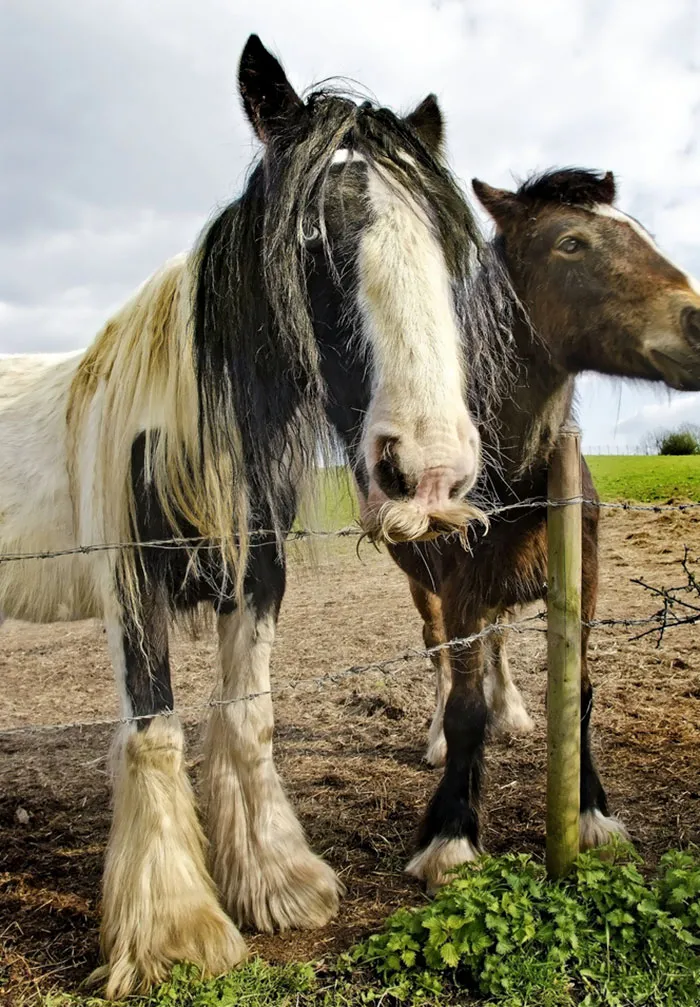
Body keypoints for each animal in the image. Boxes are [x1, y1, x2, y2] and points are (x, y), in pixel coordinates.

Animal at [0, 35, 506, 996]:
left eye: (442, 237)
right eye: (309, 234)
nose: (428, 472)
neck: (183, 432)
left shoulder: (258, 578)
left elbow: (247, 719)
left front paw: (276, 881)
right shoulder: (131, 589)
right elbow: (155, 731)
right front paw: (176, 930)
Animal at [382, 168, 700, 892]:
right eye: (571, 243)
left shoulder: (582, 580)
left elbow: (577, 691)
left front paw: (592, 816)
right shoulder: (460, 588)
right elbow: (465, 708)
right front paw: (450, 837)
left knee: (494, 646)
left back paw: (515, 712)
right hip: (424, 589)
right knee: (440, 655)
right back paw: (435, 737)